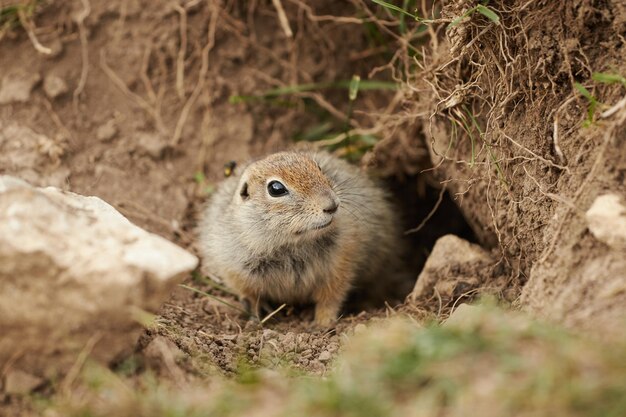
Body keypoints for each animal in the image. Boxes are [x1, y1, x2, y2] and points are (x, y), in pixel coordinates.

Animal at [197, 151, 398, 326]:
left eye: (318, 167)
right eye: (276, 188)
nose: (332, 205)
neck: (292, 244)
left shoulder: (340, 263)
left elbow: (331, 296)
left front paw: (323, 322)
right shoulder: (233, 267)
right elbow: (248, 293)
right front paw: (256, 314)